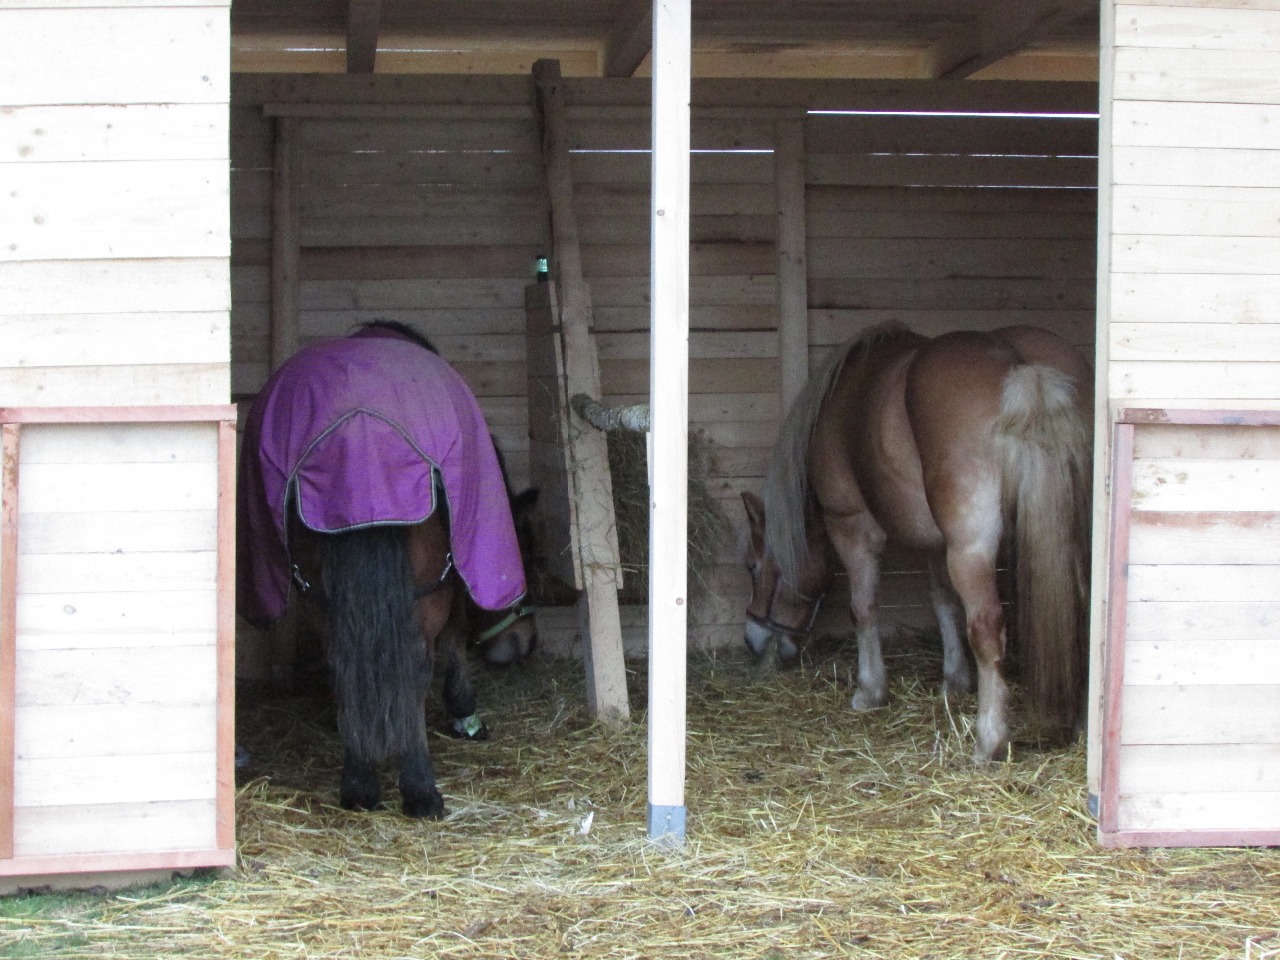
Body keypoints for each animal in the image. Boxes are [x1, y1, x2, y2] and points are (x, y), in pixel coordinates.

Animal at [237, 321, 535, 816]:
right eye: (529, 553)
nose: (525, 643)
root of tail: (360, 434)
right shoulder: (450, 581)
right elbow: (454, 640)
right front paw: (464, 714)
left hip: (321, 594)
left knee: (344, 659)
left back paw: (359, 781)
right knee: (416, 663)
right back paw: (420, 788)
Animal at [742, 324, 1093, 761]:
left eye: (753, 567)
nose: (751, 639)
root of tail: (1022, 367)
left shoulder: (852, 527)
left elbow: (863, 609)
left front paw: (870, 691)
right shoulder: (936, 544)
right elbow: (942, 603)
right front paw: (954, 681)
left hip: (971, 548)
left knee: (987, 628)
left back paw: (988, 741)